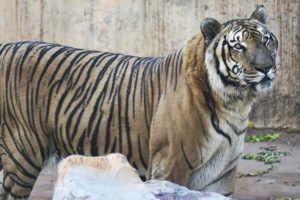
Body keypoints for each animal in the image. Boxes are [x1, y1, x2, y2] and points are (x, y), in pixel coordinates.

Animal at [0, 4, 278, 198]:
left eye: (266, 40)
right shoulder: (171, 164)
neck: (234, 101)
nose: (266, 68)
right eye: (239, 46)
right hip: (22, 156)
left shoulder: (221, 175)